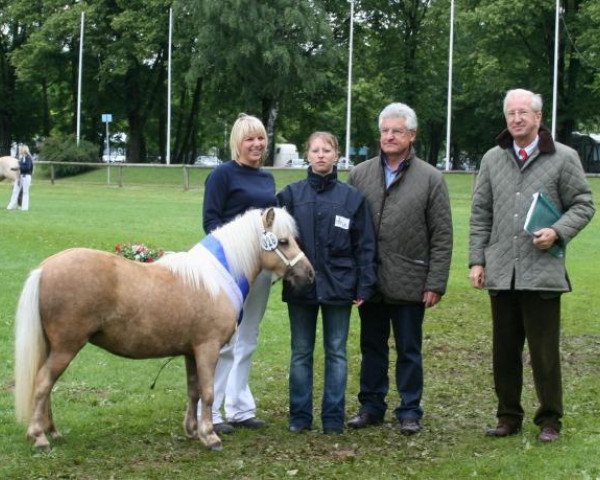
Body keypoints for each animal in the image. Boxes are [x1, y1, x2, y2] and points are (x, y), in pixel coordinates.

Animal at [15, 206, 314, 450]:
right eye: (283, 241)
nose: (309, 274)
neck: (216, 278)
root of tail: (45, 268)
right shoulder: (208, 349)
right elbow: (208, 392)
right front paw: (210, 436)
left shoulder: (191, 352)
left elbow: (194, 391)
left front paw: (193, 431)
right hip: (66, 348)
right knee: (43, 384)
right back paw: (39, 437)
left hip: (53, 348)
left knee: (46, 386)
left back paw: (52, 432)